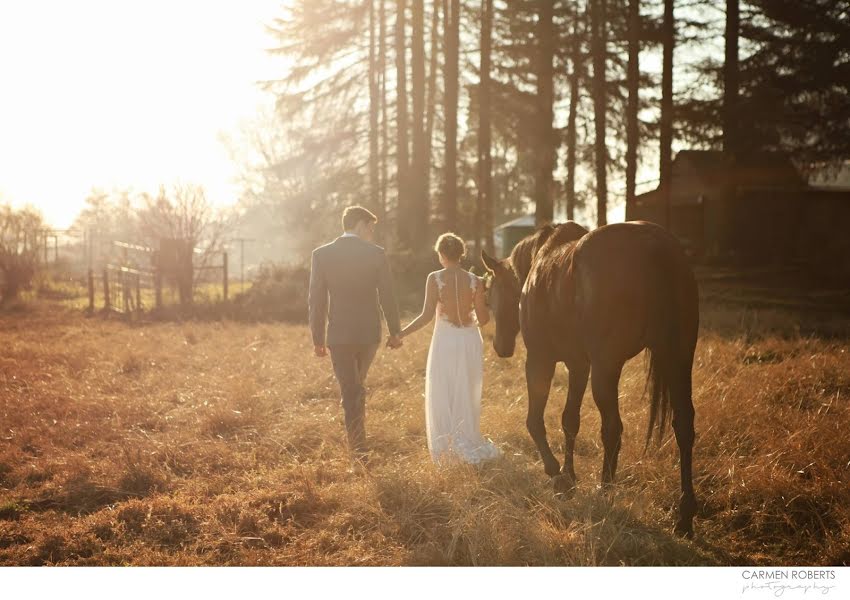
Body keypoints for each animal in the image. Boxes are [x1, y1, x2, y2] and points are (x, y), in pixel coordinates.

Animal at [480, 221, 700, 540]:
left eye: (489, 294)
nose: (501, 346)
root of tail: (655, 245)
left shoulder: (540, 360)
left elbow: (535, 421)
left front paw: (558, 476)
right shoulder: (578, 365)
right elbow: (570, 421)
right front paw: (570, 476)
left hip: (606, 368)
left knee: (612, 428)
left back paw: (605, 492)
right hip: (678, 358)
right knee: (683, 426)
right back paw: (684, 515)